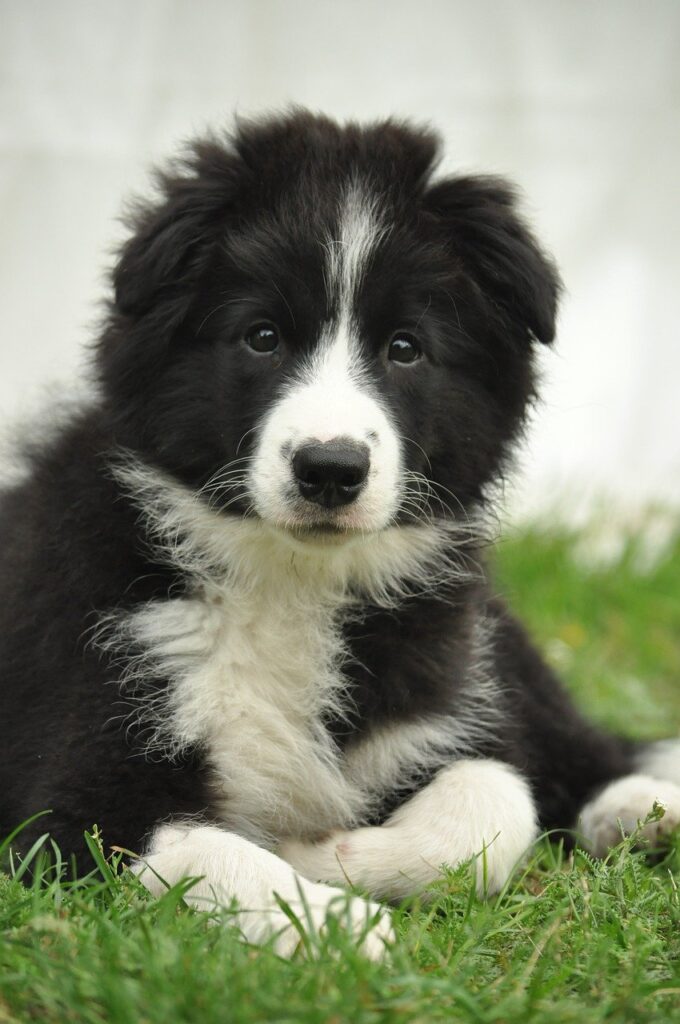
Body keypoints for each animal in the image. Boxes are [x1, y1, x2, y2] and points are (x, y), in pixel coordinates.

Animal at [1, 114, 680, 958]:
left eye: (405, 347)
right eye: (261, 337)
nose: (330, 469)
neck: (293, 578)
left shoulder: (444, 689)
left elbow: (492, 799)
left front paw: (330, 858)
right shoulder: (76, 783)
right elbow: (213, 852)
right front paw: (340, 925)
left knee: (577, 747)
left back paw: (644, 808)